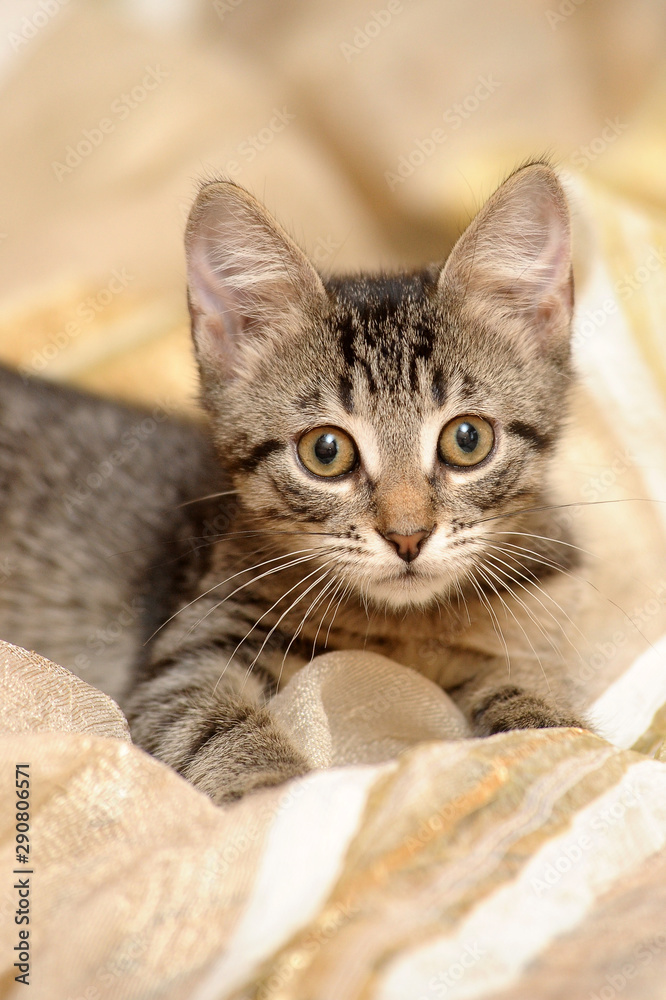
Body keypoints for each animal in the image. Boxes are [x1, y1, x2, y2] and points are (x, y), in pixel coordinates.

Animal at [0, 164, 580, 804]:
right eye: (326, 451)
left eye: (467, 439)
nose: (407, 537)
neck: (398, 628)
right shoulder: (188, 649)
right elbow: (212, 721)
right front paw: (272, 789)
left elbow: (533, 694)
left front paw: (547, 731)